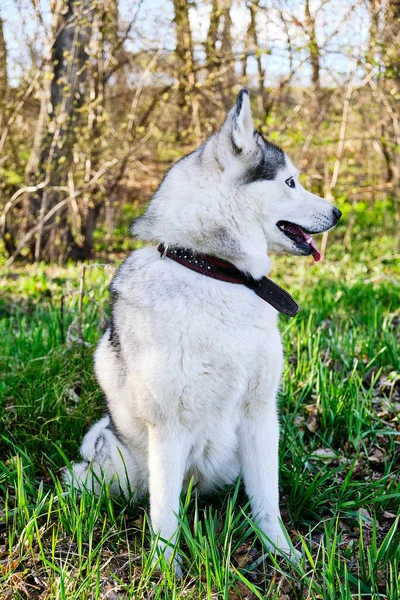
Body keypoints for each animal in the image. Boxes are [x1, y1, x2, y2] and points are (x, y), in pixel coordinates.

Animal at [65, 89, 340, 572]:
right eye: (290, 182)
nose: (338, 212)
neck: (214, 271)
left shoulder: (260, 414)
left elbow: (267, 500)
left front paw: (283, 555)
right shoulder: (168, 429)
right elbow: (164, 512)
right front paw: (165, 570)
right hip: (119, 465)